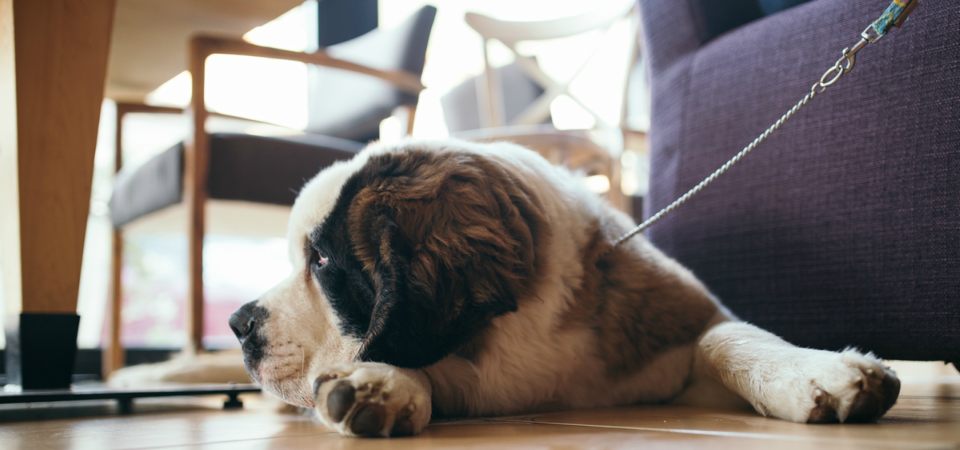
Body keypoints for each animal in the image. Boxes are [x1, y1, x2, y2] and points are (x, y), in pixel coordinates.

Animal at [227, 140, 900, 436]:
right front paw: (382, 383)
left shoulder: (676, 321)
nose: (237, 324)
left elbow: (725, 338)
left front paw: (819, 373)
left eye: (320, 260)